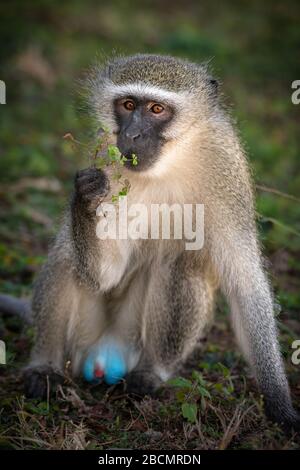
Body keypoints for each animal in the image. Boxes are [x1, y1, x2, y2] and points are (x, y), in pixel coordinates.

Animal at [1, 54, 298, 430]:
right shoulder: (108, 160)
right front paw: (85, 196)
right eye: (128, 105)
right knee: (68, 256)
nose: (131, 133)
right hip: (84, 334)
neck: (171, 161)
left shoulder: (225, 168)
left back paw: (150, 373)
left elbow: (245, 283)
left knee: (180, 262)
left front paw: (279, 403)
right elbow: (107, 273)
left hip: (131, 335)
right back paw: (44, 367)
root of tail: (105, 351)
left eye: (157, 109)